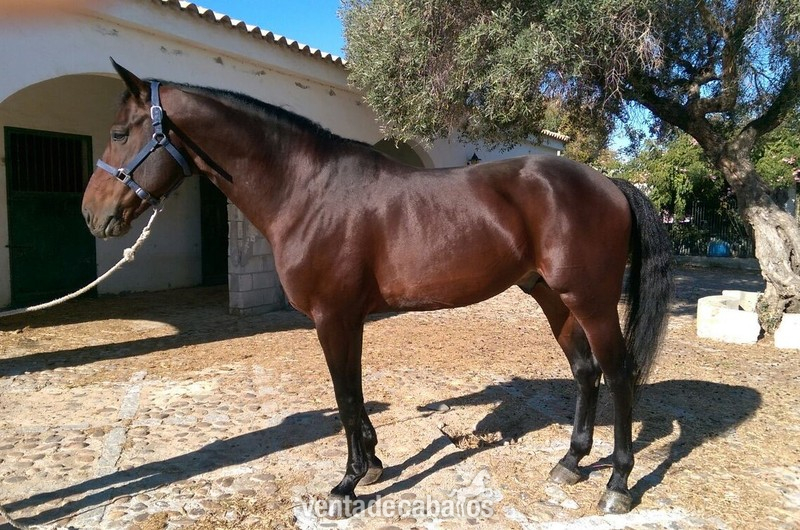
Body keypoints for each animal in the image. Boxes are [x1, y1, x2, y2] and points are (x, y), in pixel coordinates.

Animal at [81, 60, 672, 515]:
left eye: (120, 133)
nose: (92, 215)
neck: (307, 191)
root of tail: (609, 182)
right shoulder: (349, 318)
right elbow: (355, 393)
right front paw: (371, 467)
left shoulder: (332, 316)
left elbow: (344, 397)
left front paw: (346, 485)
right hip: (552, 296)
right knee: (586, 371)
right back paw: (570, 463)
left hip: (590, 300)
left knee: (619, 374)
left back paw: (618, 485)